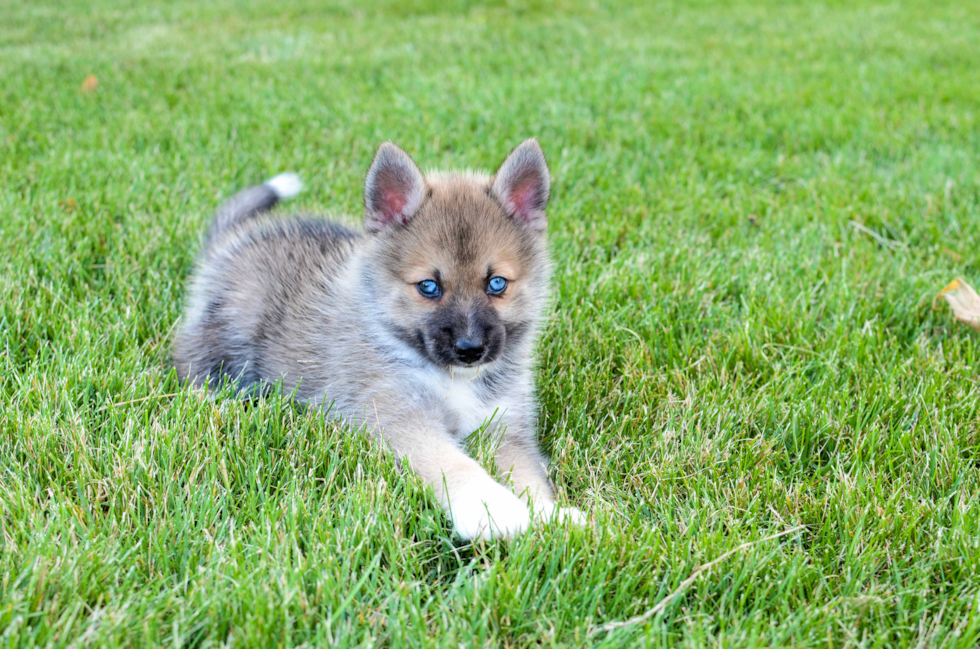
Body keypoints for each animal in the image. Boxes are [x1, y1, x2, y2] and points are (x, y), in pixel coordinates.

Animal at [173, 139, 584, 540]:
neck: (451, 378)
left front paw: (551, 515)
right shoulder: (398, 416)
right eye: (429, 287)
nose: (470, 350)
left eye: (496, 283)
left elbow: (528, 476)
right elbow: (449, 461)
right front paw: (490, 508)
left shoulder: (505, 428)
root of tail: (233, 242)